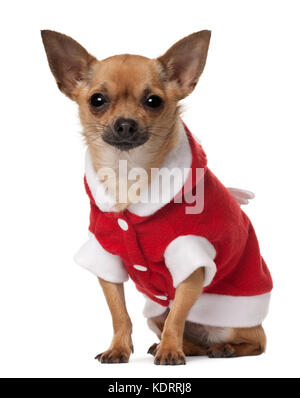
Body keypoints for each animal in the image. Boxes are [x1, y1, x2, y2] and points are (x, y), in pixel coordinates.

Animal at [41, 29, 274, 366]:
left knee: (256, 342)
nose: (125, 124)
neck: (129, 173)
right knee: (188, 336)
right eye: (97, 100)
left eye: (154, 101)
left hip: (234, 320)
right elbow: (120, 314)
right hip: (156, 315)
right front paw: (118, 348)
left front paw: (170, 351)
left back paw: (223, 348)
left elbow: (177, 315)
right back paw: (185, 346)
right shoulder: (106, 258)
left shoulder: (190, 259)